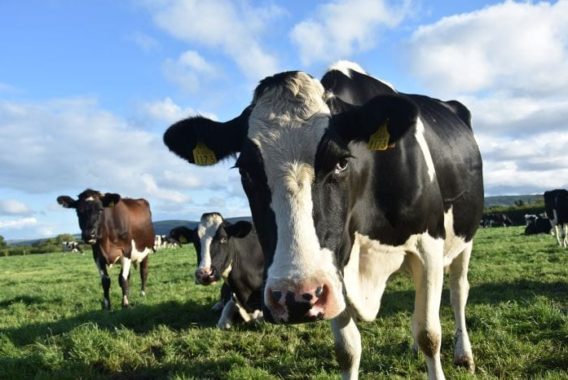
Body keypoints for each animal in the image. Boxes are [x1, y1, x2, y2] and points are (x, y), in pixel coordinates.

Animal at [163, 60, 484, 378]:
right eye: (246, 171)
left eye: (341, 162)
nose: (294, 297)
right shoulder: (333, 266)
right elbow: (348, 350)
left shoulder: (428, 246)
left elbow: (429, 334)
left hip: (464, 242)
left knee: (458, 292)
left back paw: (464, 354)